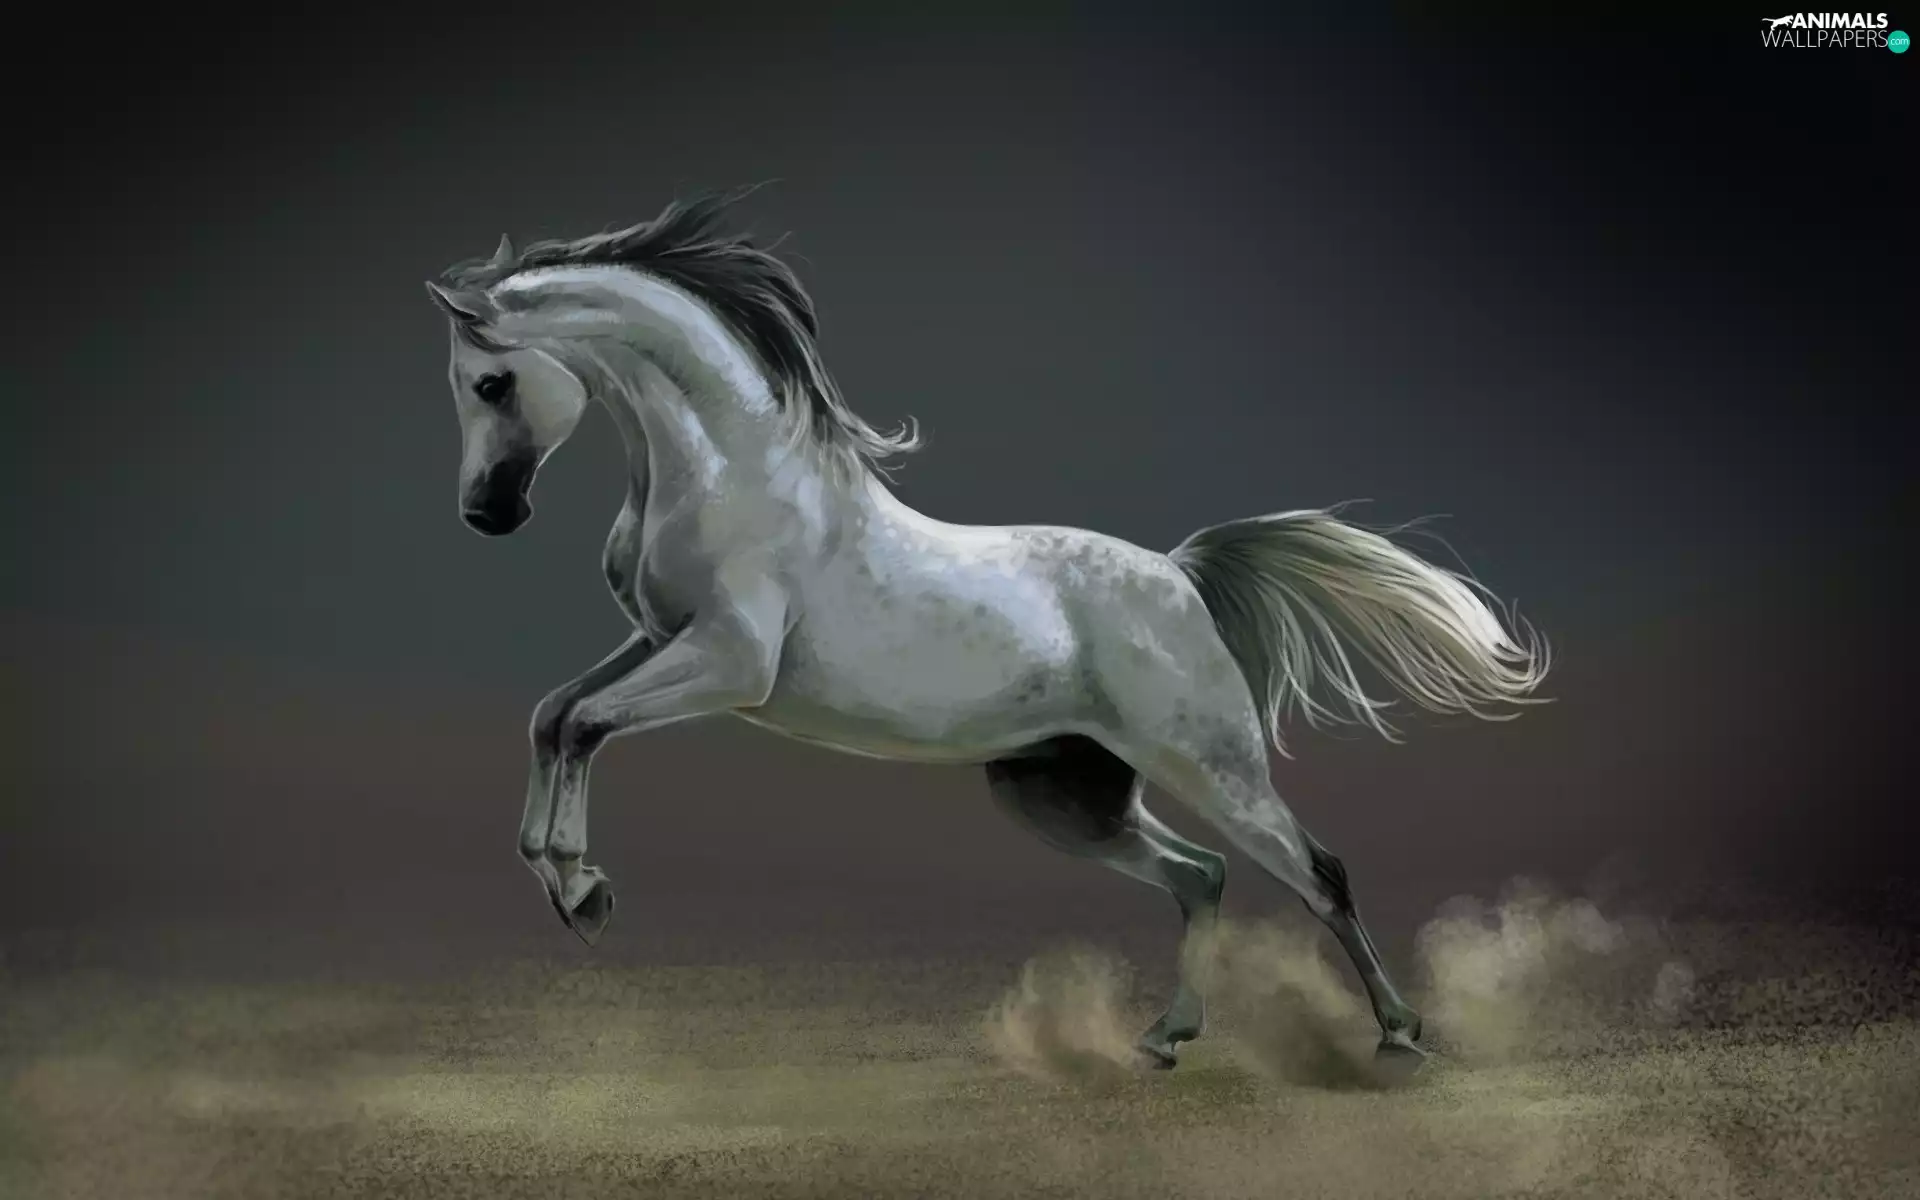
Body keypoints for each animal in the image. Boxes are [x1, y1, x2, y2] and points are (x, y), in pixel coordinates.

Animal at [422, 189, 1549, 1070]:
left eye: (490, 381)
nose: (487, 513)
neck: (732, 470)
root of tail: (1179, 576)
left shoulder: (729, 664)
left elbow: (581, 725)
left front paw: (581, 888)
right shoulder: (658, 641)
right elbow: (552, 714)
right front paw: (566, 883)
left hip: (1207, 762)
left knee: (1317, 872)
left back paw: (1399, 1033)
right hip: (1063, 794)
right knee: (1203, 877)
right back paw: (1164, 1037)